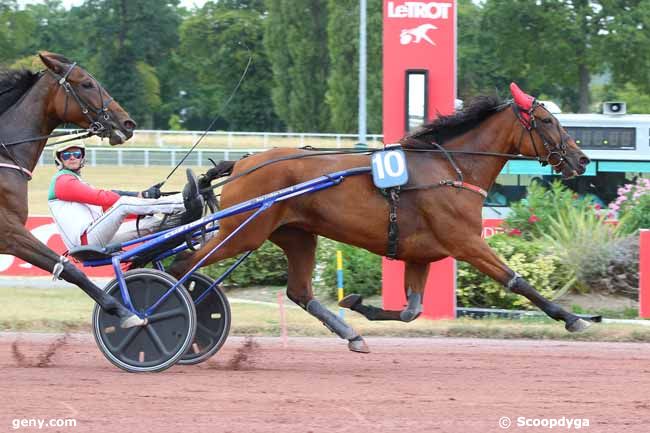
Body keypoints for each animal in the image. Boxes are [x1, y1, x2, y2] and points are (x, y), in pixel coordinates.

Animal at [171, 82, 592, 352]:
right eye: (547, 121)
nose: (582, 159)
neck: (450, 168)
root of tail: (243, 161)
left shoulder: (421, 255)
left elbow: (410, 311)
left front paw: (358, 303)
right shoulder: (466, 242)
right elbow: (517, 281)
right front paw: (572, 317)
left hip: (297, 235)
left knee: (300, 292)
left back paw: (352, 335)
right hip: (241, 233)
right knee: (181, 266)